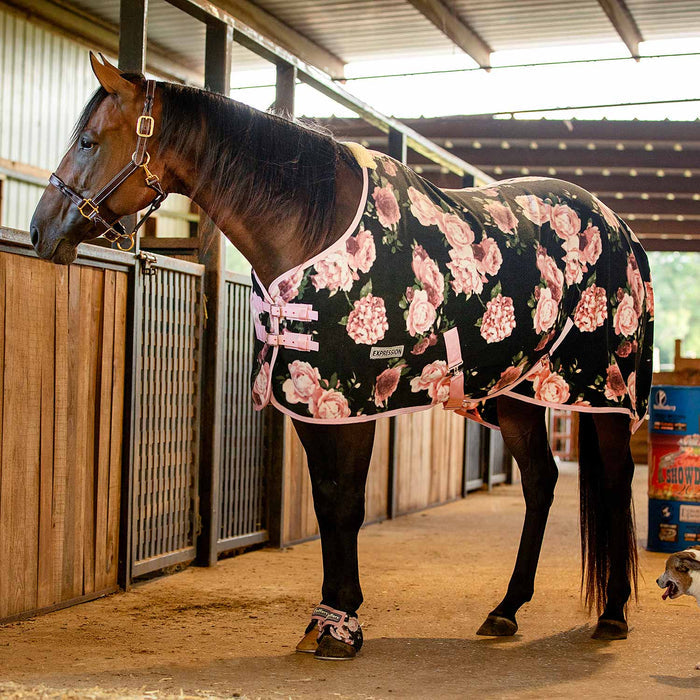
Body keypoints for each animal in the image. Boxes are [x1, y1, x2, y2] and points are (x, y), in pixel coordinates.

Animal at [31, 54, 653, 661]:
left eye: (88, 141)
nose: (40, 231)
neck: (313, 226)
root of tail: (621, 228)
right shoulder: (313, 403)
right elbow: (328, 501)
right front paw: (327, 618)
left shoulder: (354, 401)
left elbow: (348, 502)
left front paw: (341, 626)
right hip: (520, 391)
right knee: (541, 482)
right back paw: (506, 609)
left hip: (607, 392)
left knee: (616, 480)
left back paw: (614, 613)